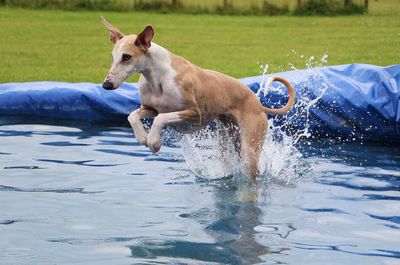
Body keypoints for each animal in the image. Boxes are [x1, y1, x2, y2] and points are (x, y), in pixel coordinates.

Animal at [101, 17, 296, 180]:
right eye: (112, 57)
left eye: (127, 57)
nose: (106, 85)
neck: (157, 75)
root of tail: (258, 104)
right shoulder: (150, 108)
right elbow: (132, 115)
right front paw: (143, 137)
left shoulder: (193, 112)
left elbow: (160, 118)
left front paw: (154, 142)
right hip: (228, 139)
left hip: (250, 144)